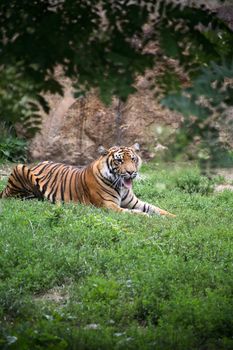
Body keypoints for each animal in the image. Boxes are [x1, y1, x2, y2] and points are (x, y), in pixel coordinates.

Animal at [0, 144, 175, 216]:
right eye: (119, 161)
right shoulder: (109, 206)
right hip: (19, 168)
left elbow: (157, 209)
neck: (121, 185)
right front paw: (145, 217)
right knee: (14, 196)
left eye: (133, 159)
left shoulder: (135, 202)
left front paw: (174, 217)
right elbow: (133, 213)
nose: (131, 172)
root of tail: (37, 164)